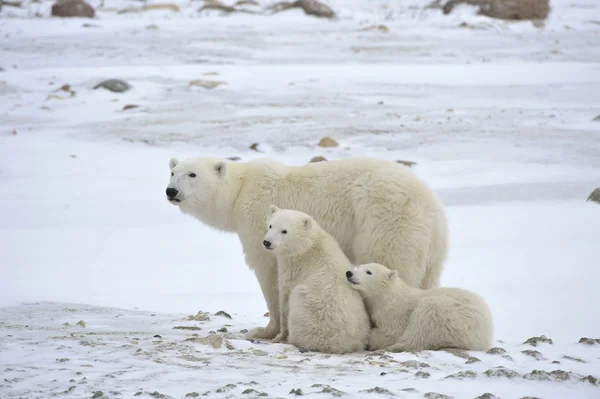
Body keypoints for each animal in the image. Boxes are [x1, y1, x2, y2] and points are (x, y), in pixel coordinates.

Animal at [264, 206, 370, 354]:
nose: (267, 242)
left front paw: (279, 336)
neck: (308, 245)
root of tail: (339, 345)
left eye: (284, 231)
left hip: (309, 313)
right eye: (270, 225)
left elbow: (284, 298)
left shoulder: (293, 269)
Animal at [346, 266, 492, 354]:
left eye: (369, 271)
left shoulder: (396, 313)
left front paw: (372, 336)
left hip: (453, 316)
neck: (389, 297)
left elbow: (392, 332)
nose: (349, 273)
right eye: (358, 266)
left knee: (421, 325)